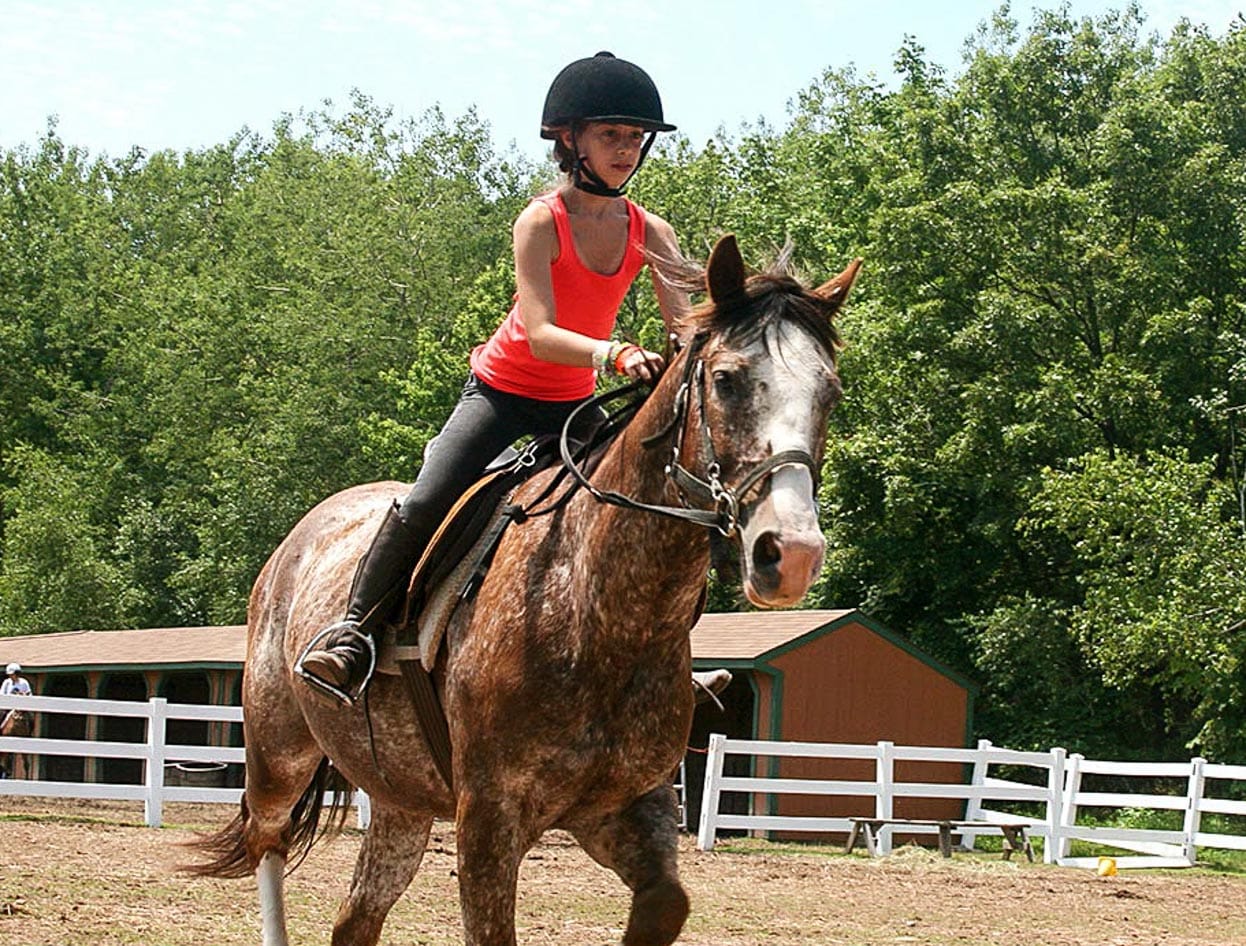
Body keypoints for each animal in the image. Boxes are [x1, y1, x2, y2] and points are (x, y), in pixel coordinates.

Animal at [189, 235, 862, 946]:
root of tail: (302, 536)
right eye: (727, 379)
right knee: (267, 845)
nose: (791, 553)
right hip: (278, 753)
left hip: (401, 801)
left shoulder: (629, 807)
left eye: (830, 392)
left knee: (356, 917)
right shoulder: (489, 818)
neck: (608, 615)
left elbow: (665, 904)